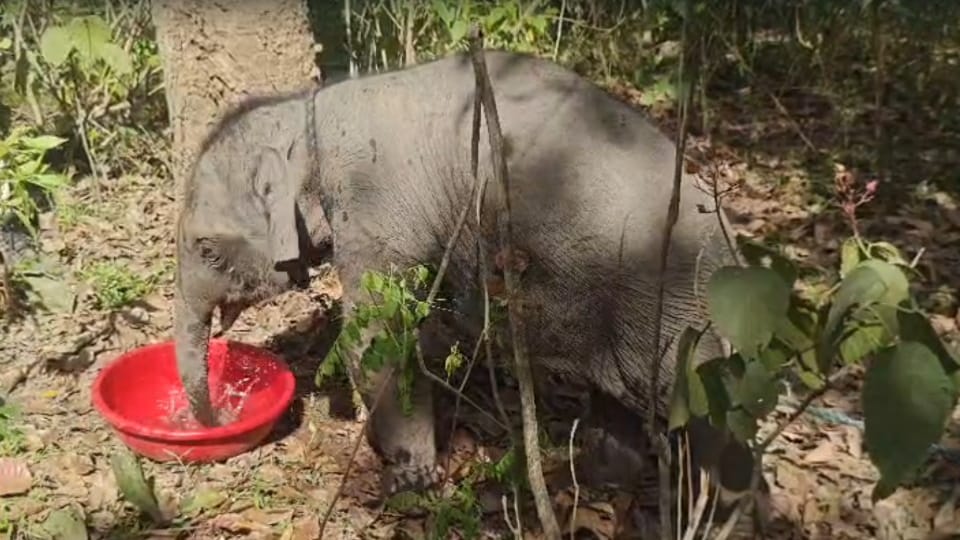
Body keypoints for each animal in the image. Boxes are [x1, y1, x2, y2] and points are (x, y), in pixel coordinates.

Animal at [173, 49, 768, 532]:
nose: (214, 420)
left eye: (206, 249)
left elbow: (379, 336)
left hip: (680, 317)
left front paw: (406, 485)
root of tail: (734, 252)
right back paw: (588, 479)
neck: (308, 113)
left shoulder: (375, 208)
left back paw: (728, 517)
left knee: (712, 421)